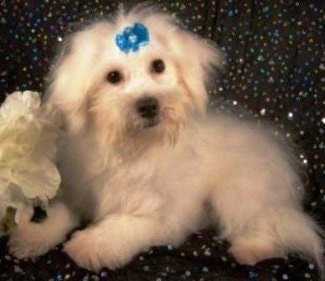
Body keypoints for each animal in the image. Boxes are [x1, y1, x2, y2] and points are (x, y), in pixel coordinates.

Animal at [8, 3, 322, 272]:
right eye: (113, 77)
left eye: (158, 66)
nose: (149, 105)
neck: (133, 146)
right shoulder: (78, 188)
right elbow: (60, 212)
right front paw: (32, 237)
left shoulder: (163, 217)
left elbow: (122, 226)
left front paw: (90, 245)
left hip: (239, 191)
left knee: (270, 225)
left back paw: (251, 249)